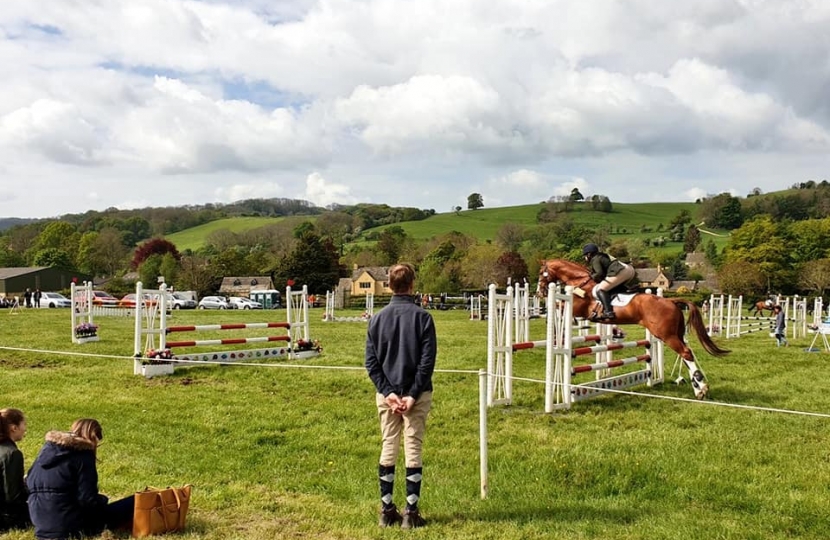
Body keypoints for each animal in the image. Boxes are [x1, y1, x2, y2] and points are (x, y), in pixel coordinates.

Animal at [540, 260, 728, 398]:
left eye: (542, 273)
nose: (540, 292)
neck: (580, 283)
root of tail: (671, 301)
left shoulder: (578, 308)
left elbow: (559, 304)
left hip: (666, 335)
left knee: (686, 353)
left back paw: (701, 388)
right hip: (675, 334)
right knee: (686, 354)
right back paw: (697, 387)